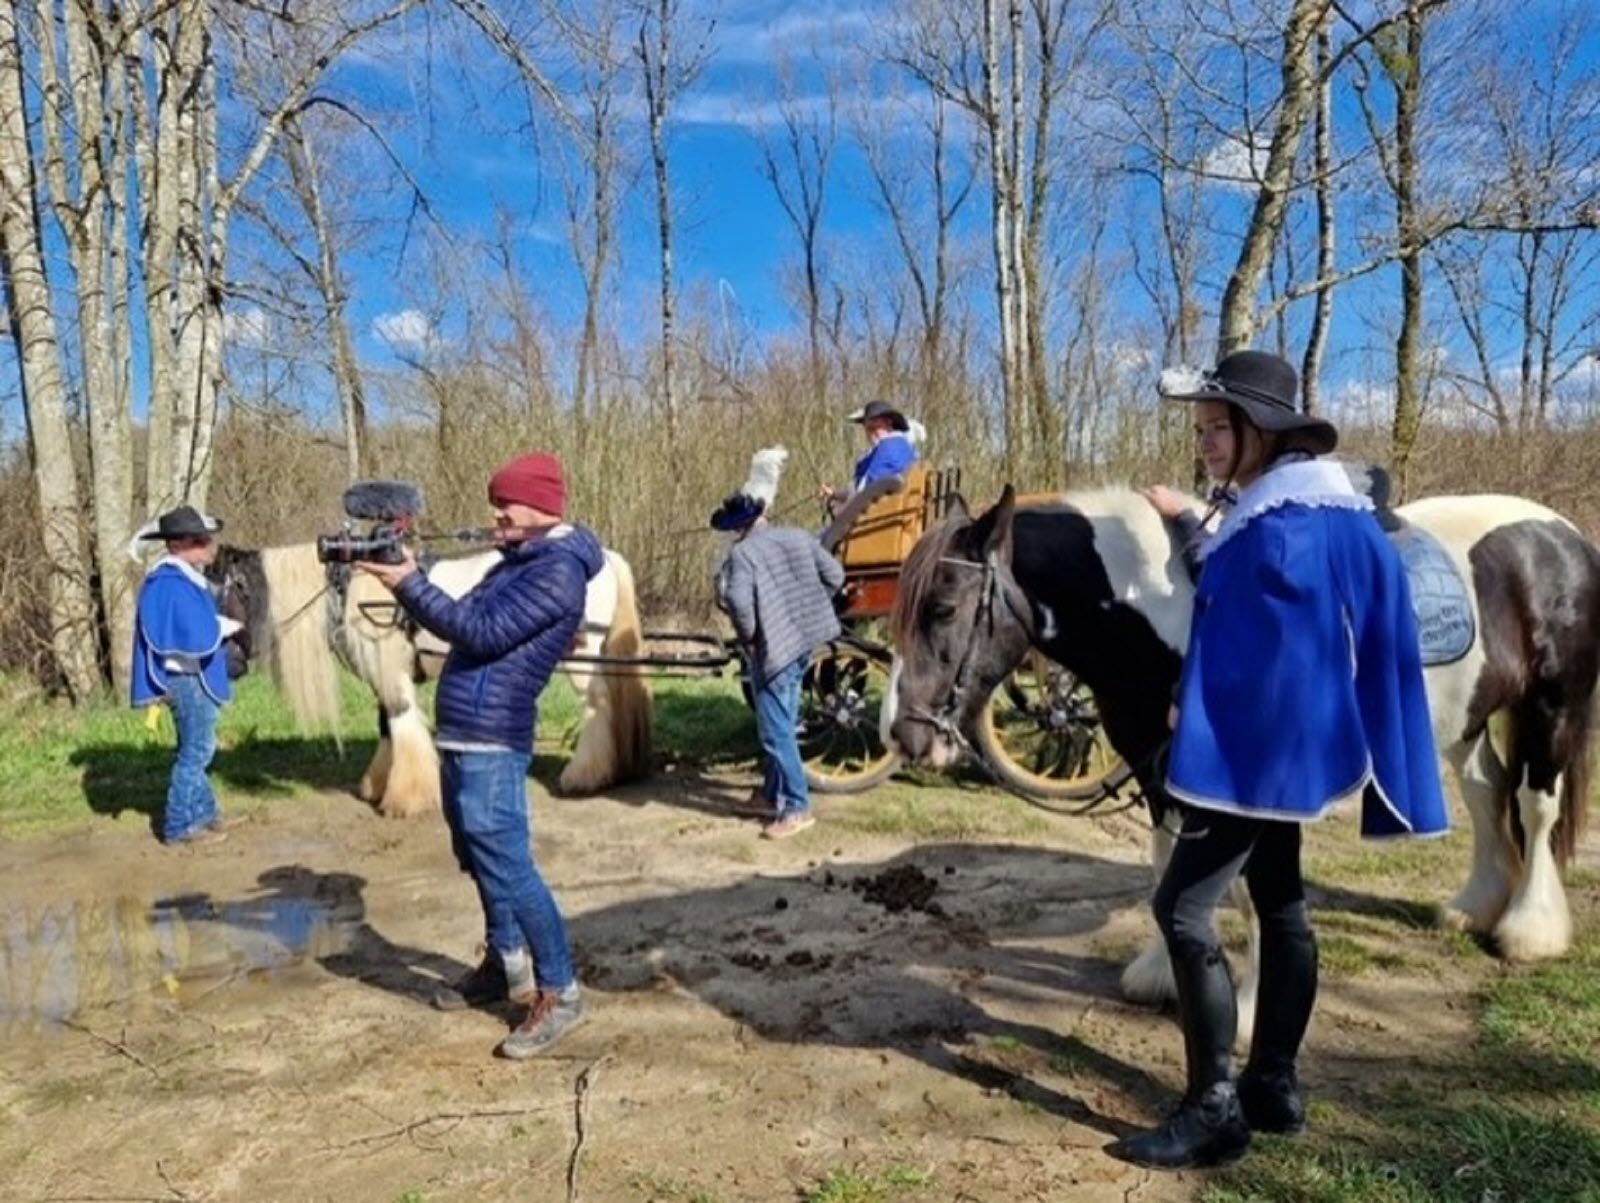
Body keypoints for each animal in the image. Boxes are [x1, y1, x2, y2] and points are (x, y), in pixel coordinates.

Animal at [889, 483, 1600, 1030]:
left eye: (943, 608)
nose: (907, 737)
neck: (1178, 614)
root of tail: (1563, 536)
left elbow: (1256, 894)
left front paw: (1256, 1006)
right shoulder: (1158, 771)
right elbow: (1165, 870)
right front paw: (1160, 974)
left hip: (1551, 706)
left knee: (1535, 807)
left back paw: (1528, 930)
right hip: (1464, 720)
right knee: (1485, 793)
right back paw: (1473, 907)